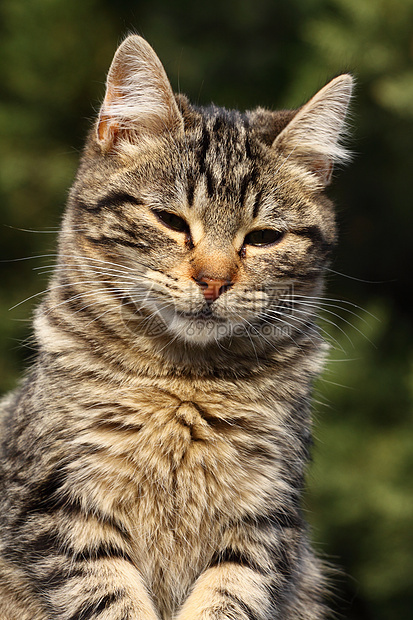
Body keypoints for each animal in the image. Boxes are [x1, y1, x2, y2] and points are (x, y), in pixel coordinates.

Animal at [0, 35, 350, 620]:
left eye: (263, 237)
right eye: (171, 221)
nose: (213, 281)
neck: (185, 383)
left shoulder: (265, 520)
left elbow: (229, 598)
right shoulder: (56, 508)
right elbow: (110, 600)